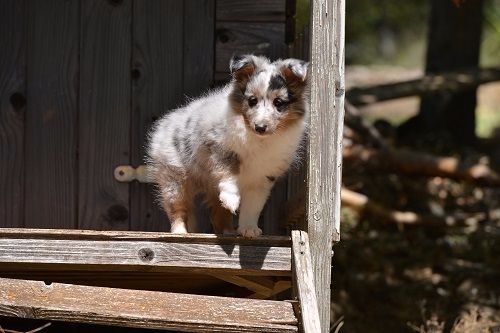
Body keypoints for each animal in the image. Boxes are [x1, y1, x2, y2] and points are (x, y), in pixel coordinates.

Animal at [146, 53, 306, 236]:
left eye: (278, 102)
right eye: (252, 101)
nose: (260, 127)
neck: (258, 139)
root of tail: (165, 124)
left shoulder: (261, 179)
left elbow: (253, 206)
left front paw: (249, 229)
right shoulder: (219, 150)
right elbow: (229, 175)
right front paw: (232, 199)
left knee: (218, 215)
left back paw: (229, 231)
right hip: (174, 179)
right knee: (178, 209)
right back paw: (180, 232)